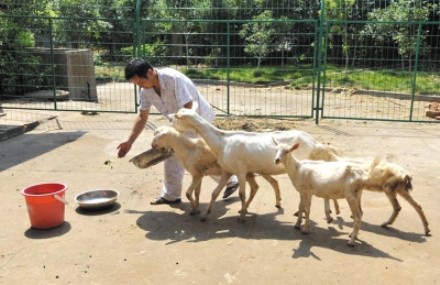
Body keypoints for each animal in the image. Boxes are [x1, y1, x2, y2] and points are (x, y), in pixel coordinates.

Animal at [151, 125, 282, 215]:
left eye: (160, 136)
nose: (152, 145)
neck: (189, 148)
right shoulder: (197, 174)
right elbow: (197, 192)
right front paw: (196, 209)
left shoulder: (198, 173)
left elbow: (188, 193)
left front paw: (196, 210)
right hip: (251, 171)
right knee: (264, 184)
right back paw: (274, 204)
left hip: (257, 169)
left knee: (266, 183)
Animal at [174, 107, 336, 221]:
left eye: (177, 117)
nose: (173, 125)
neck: (222, 141)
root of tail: (314, 143)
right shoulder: (227, 171)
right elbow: (215, 193)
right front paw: (204, 215)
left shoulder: (240, 171)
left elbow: (241, 193)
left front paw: (242, 216)